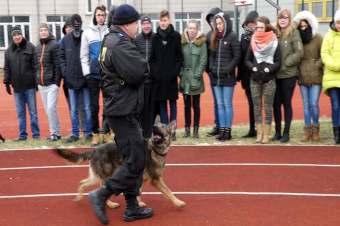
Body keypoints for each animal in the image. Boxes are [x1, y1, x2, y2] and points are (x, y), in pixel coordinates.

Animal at [54, 122, 186, 209]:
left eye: (162, 126)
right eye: (157, 125)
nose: (153, 127)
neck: (155, 149)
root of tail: (95, 150)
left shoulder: (141, 179)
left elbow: (139, 192)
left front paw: (138, 203)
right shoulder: (156, 180)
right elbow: (168, 191)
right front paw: (178, 202)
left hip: (96, 177)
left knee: (83, 183)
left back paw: (79, 198)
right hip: (105, 176)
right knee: (100, 188)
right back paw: (110, 204)